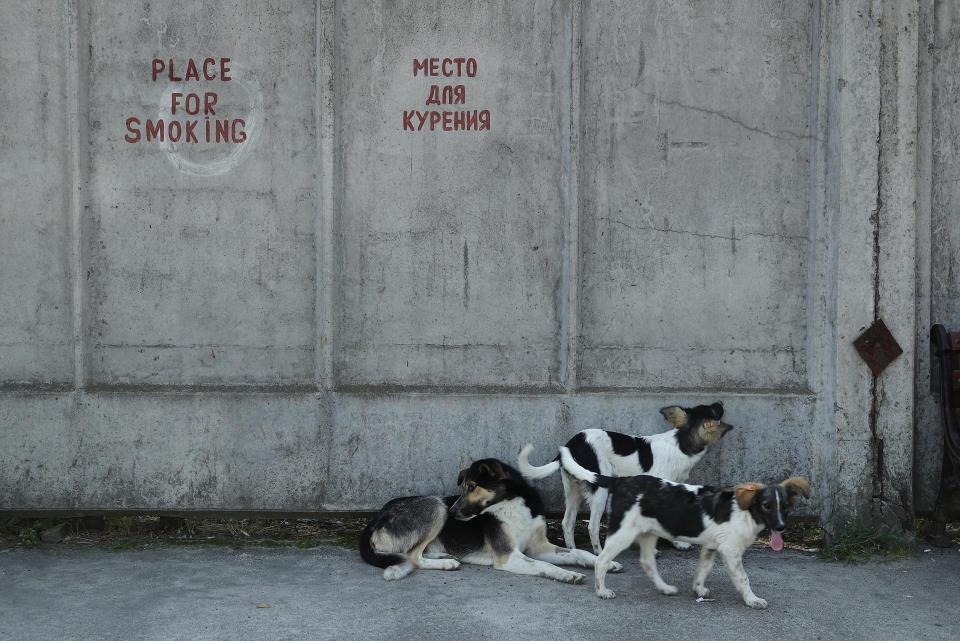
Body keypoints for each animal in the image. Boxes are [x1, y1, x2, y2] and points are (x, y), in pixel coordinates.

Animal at [358, 458, 624, 584]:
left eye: (472, 487)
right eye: (463, 487)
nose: (454, 512)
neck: (511, 503)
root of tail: (375, 519)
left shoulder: (538, 547)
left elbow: (579, 553)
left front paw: (606, 562)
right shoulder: (509, 556)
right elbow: (545, 566)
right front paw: (567, 575)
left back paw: (444, 554)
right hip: (436, 506)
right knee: (412, 557)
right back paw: (446, 563)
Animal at [516, 402, 736, 552]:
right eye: (714, 411)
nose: (721, 402)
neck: (681, 443)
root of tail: (572, 443)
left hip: (573, 490)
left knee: (567, 523)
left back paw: (573, 551)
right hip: (599, 489)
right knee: (593, 526)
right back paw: (599, 554)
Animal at [556, 448, 808, 608]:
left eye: (785, 506)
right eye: (766, 505)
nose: (781, 527)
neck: (746, 511)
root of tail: (621, 481)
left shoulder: (711, 547)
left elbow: (702, 571)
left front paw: (699, 590)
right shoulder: (731, 551)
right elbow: (743, 578)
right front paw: (752, 600)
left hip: (648, 532)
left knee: (647, 562)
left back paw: (664, 588)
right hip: (623, 533)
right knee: (601, 561)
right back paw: (602, 591)